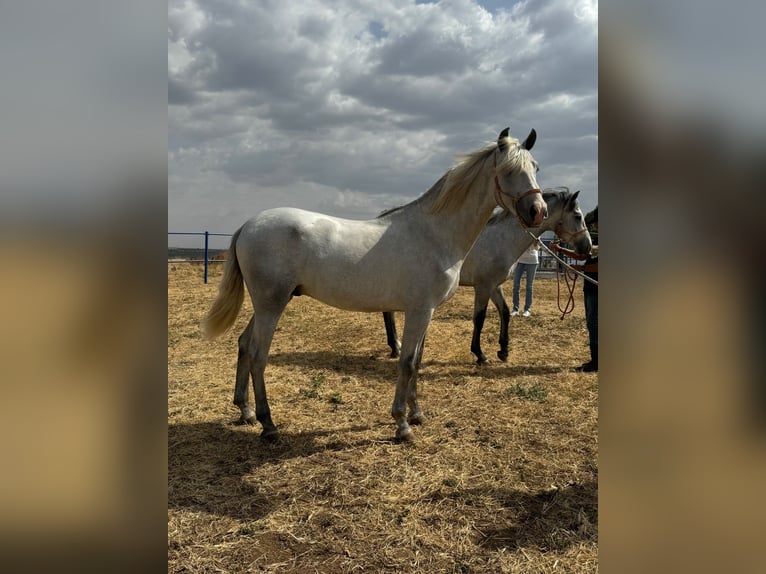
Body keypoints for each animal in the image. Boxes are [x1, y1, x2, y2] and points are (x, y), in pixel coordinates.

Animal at [201, 127, 544, 440]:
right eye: (508, 171)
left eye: (535, 167)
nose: (537, 211)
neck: (433, 233)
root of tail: (248, 225)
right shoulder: (419, 311)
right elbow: (407, 362)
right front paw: (402, 424)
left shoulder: (427, 312)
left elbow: (417, 360)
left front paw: (417, 414)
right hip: (270, 306)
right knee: (258, 355)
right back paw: (268, 424)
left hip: (267, 305)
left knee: (244, 345)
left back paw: (245, 411)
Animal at [384, 189, 592, 364]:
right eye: (578, 216)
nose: (588, 248)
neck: (502, 239)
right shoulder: (483, 286)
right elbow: (479, 318)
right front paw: (480, 354)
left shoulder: (495, 286)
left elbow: (505, 312)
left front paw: (503, 351)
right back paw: (395, 347)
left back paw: (395, 347)